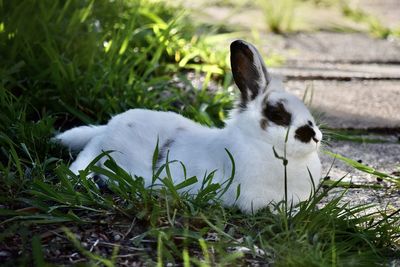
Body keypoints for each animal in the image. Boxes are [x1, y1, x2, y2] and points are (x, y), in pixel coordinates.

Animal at [54, 39, 322, 214]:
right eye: (277, 114)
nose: (315, 135)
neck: (262, 144)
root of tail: (111, 124)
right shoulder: (257, 198)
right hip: (102, 148)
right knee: (87, 155)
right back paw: (81, 180)